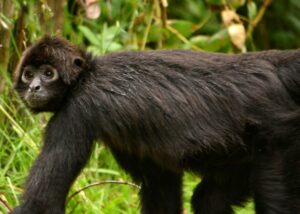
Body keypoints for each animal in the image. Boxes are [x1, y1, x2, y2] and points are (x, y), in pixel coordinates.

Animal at [11, 36, 300, 213]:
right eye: (29, 74)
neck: (88, 75)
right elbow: (160, 185)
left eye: (48, 73)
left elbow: (41, 202)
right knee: (208, 198)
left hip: (280, 140)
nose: (35, 87)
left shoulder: (75, 112)